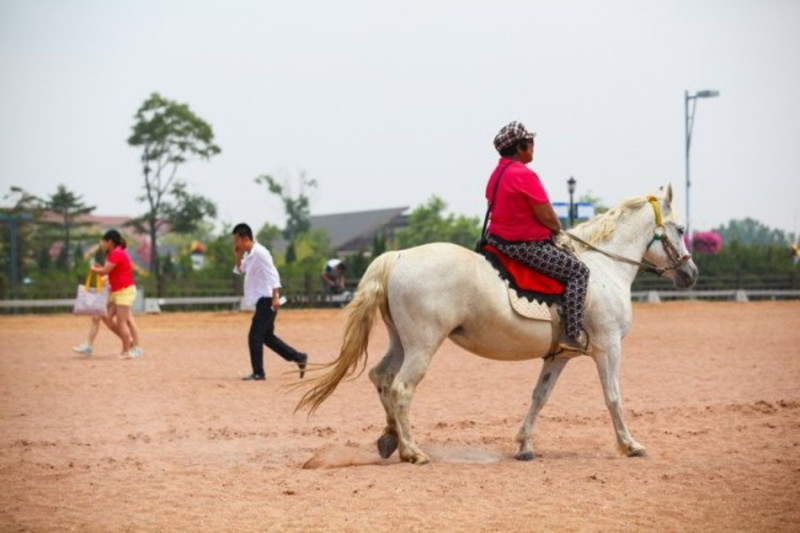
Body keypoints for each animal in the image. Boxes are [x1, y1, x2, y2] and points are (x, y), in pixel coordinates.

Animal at [296, 183, 696, 462]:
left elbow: (539, 397)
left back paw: (390, 438)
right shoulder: (608, 347)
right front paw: (630, 445)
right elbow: (613, 396)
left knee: (381, 378)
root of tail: (398, 255)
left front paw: (524, 445)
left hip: (401, 341)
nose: (690, 273)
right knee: (401, 388)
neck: (602, 267)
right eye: (680, 228)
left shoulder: (559, 356)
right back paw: (412, 451)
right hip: (423, 345)